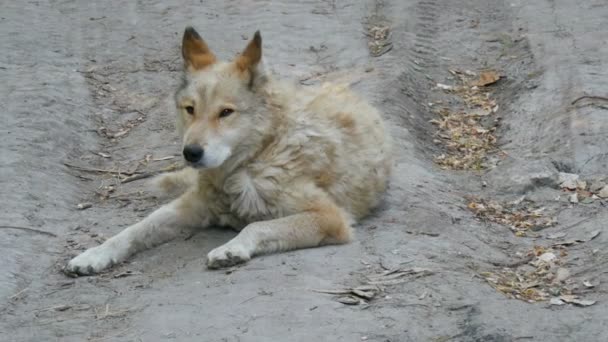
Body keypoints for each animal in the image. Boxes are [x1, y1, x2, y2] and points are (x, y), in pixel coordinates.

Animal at [65, 26, 390, 276]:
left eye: (225, 112)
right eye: (190, 109)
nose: (191, 153)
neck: (253, 159)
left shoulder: (330, 217)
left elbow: (257, 226)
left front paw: (231, 248)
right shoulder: (193, 205)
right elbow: (137, 227)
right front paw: (94, 254)